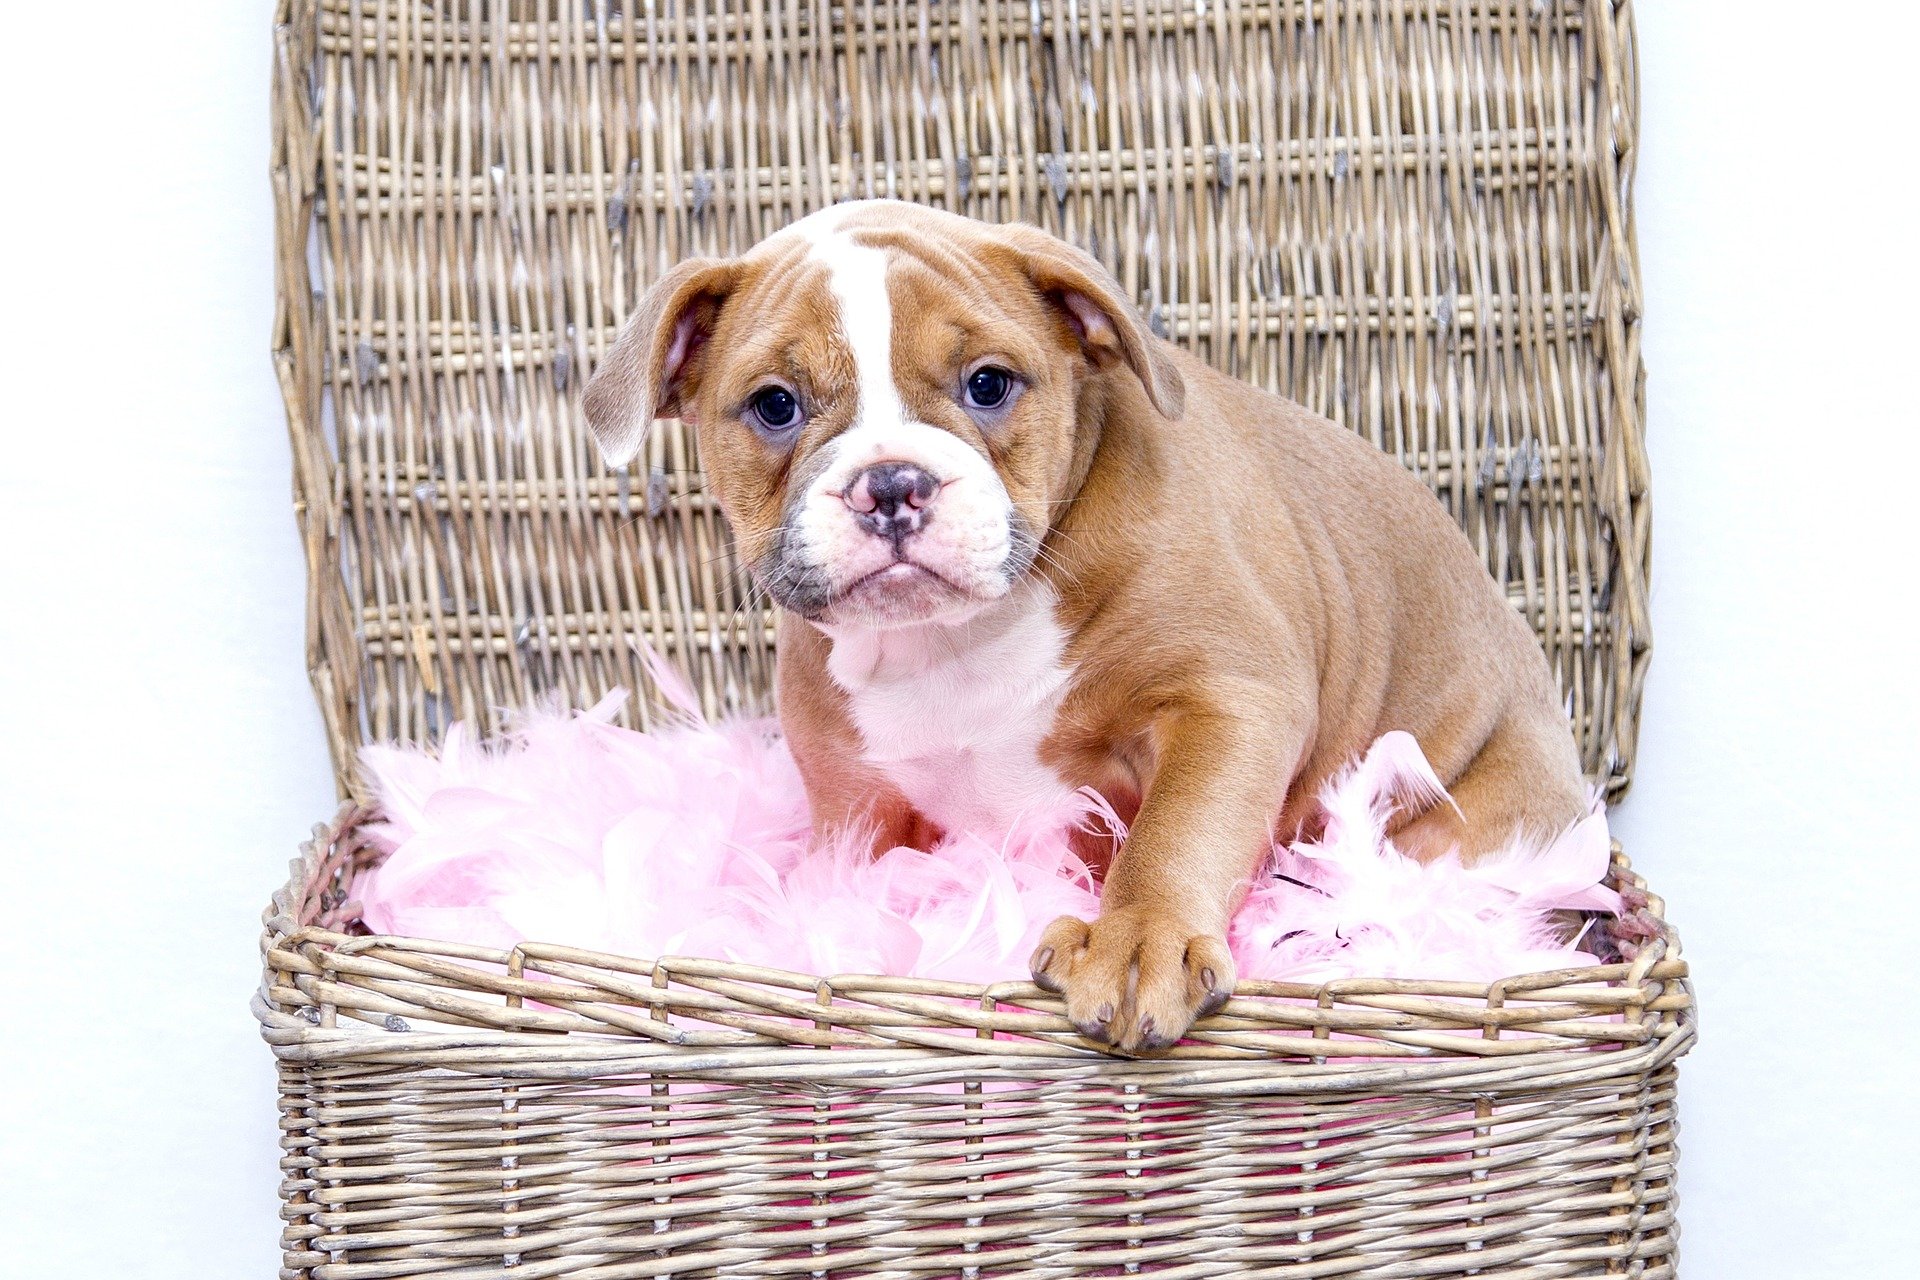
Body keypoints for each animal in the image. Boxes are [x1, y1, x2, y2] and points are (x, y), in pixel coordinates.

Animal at [579, 200, 1589, 1051]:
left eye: (989, 385)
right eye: (774, 405)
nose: (893, 482)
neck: (956, 638)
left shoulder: (1229, 703)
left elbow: (1176, 831)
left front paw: (1139, 940)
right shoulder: (853, 800)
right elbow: (848, 888)